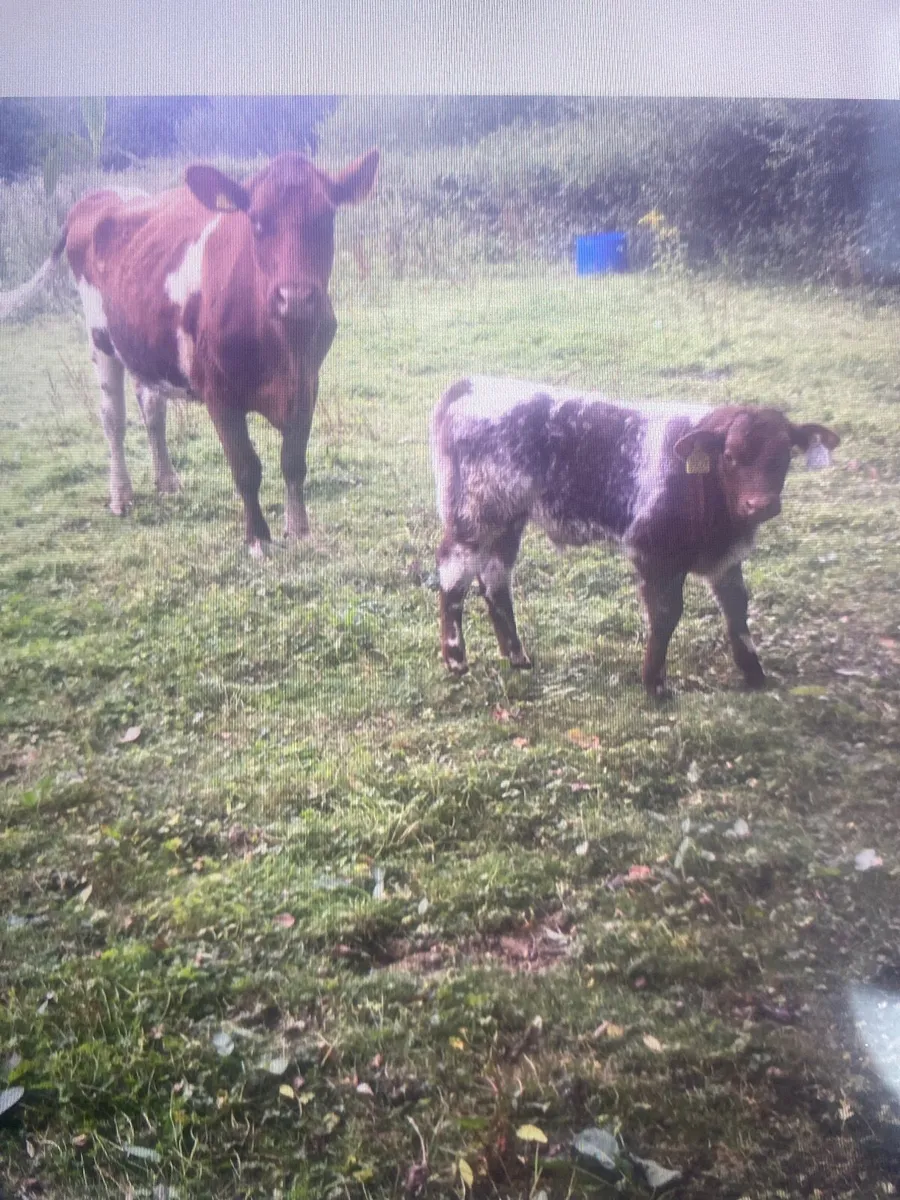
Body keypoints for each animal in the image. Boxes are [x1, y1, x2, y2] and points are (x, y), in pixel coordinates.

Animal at [0, 149, 379, 552]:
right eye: (257, 220)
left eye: (326, 218)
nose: (295, 298)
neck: (280, 346)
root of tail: (99, 197)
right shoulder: (218, 391)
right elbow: (246, 467)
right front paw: (258, 540)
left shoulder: (307, 382)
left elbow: (293, 461)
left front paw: (300, 530)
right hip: (100, 336)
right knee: (112, 417)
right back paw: (121, 495)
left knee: (152, 406)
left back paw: (167, 481)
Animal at [431, 376, 840, 694]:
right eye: (730, 455)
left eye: (785, 455)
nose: (760, 505)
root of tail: (473, 383)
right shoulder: (652, 551)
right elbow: (666, 613)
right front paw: (654, 684)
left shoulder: (725, 558)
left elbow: (736, 607)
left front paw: (754, 674)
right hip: (473, 515)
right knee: (453, 575)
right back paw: (456, 660)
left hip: (507, 520)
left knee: (495, 580)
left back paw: (517, 657)